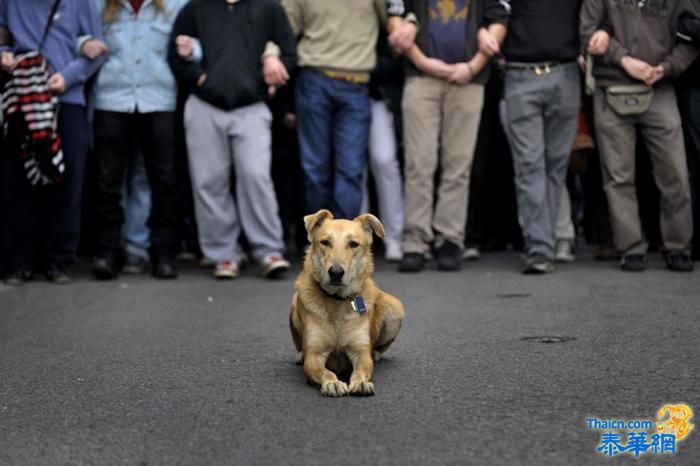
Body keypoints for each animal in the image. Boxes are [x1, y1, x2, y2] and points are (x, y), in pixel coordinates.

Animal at [290, 209, 404, 396]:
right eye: (325, 242)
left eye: (353, 244)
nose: (336, 272)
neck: (338, 301)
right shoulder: (314, 355)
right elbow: (324, 371)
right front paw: (333, 383)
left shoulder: (360, 352)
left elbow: (362, 369)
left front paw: (361, 382)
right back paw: (299, 354)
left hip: (395, 308)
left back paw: (376, 354)